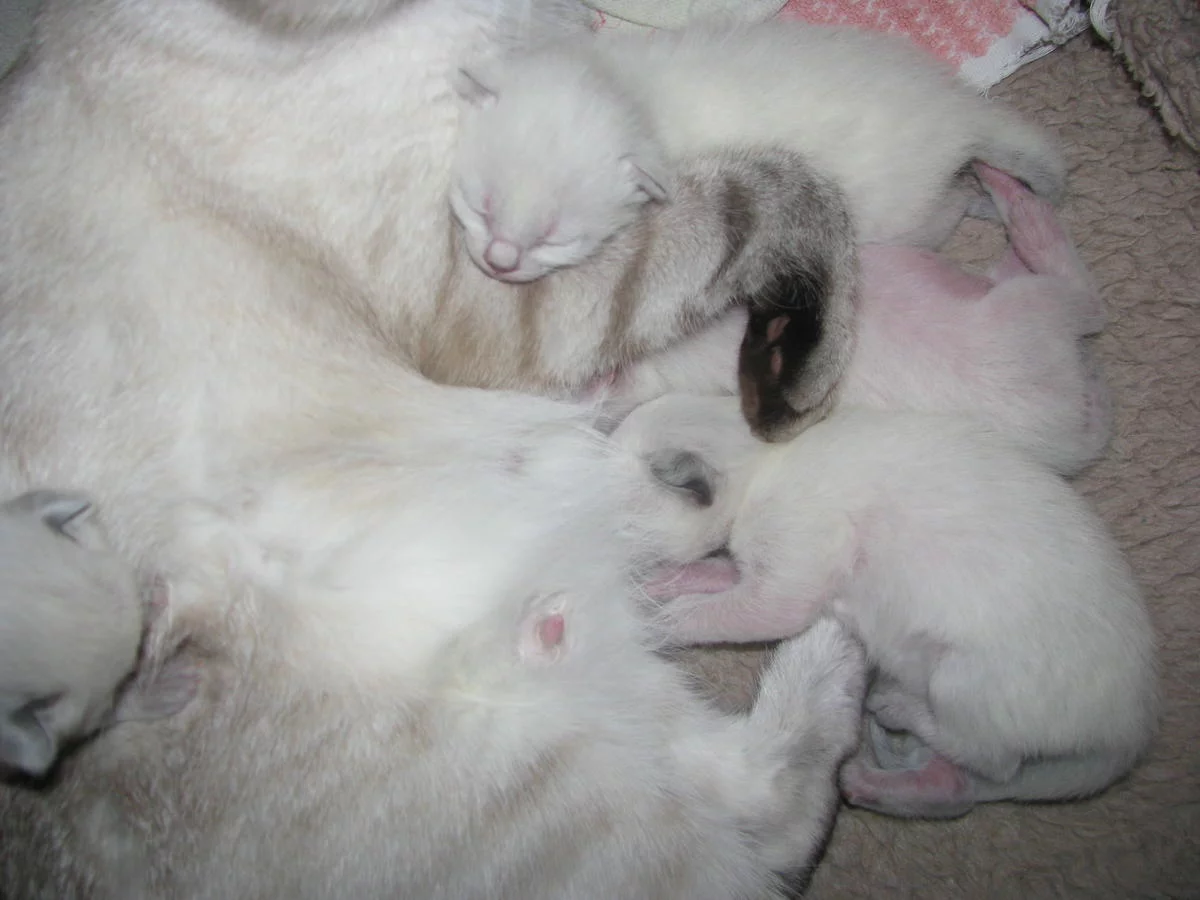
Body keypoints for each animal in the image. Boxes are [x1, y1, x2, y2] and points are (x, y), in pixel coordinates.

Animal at [613, 395, 1159, 819]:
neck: (765, 462)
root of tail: (1133, 731)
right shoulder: (756, 569)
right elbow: (712, 575)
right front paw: (661, 584)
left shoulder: (788, 578)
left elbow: (710, 611)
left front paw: (653, 614)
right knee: (964, 786)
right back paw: (872, 782)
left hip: (962, 679)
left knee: (990, 758)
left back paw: (895, 706)